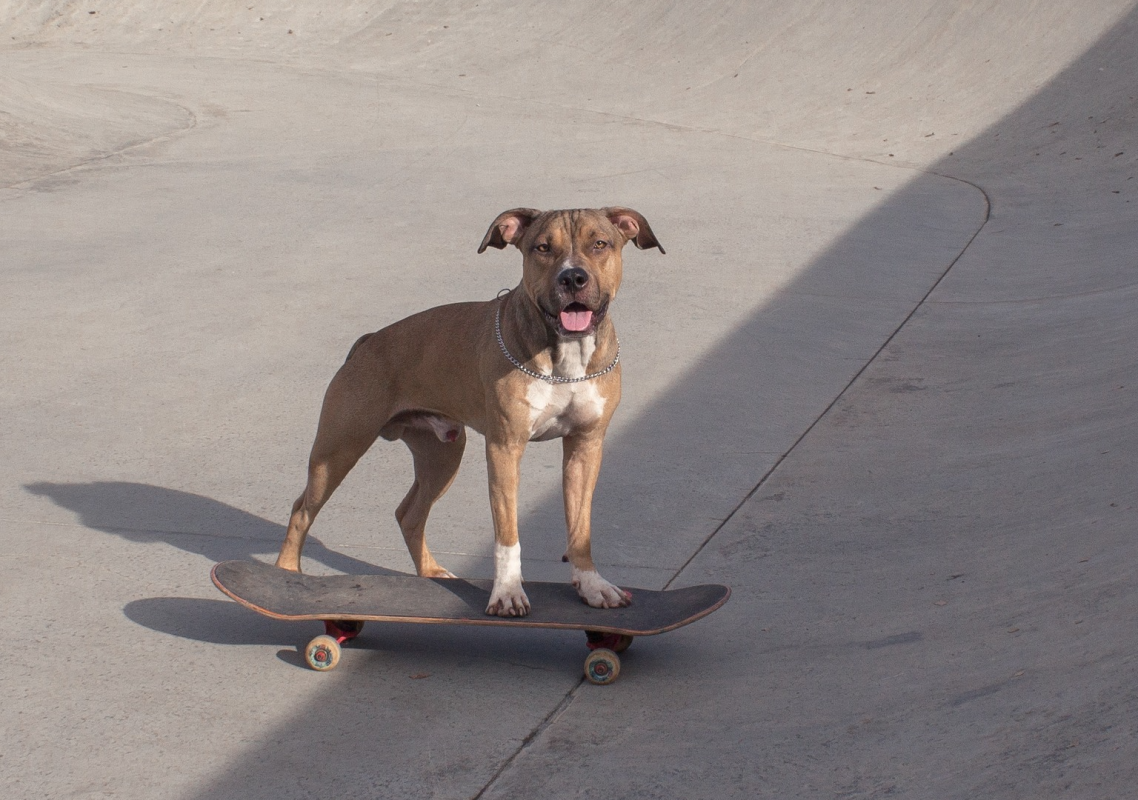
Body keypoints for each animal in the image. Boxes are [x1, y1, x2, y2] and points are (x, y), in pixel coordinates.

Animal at [275, 208, 664, 619]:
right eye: (543, 248)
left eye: (599, 244)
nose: (572, 277)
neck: (566, 357)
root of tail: (367, 342)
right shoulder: (505, 449)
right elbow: (508, 534)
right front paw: (507, 593)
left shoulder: (585, 447)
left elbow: (580, 527)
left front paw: (591, 585)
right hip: (338, 450)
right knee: (302, 510)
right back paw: (285, 579)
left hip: (442, 454)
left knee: (409, 514)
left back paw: (430, 572)